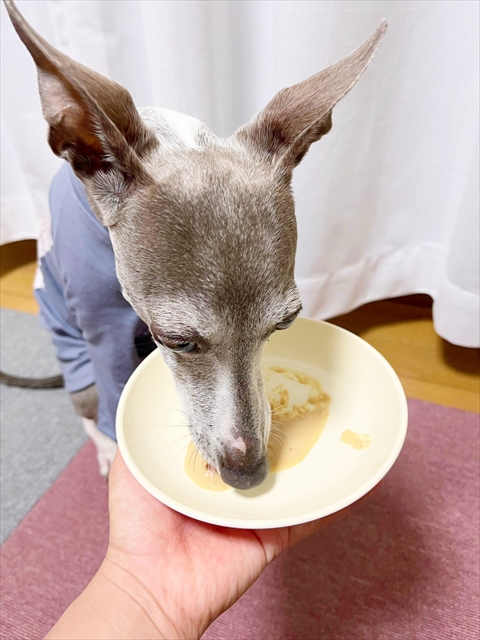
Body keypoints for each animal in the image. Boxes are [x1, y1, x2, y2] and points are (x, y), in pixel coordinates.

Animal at [3, 0, 386, 488]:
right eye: (177, 341)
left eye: (285, 324)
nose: (249, 474)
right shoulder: (103, 324)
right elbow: (111, 390)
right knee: (89, 410)